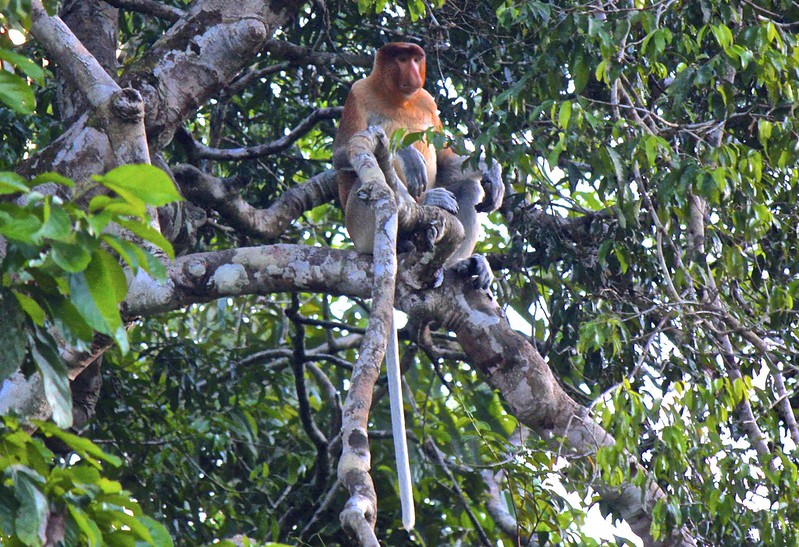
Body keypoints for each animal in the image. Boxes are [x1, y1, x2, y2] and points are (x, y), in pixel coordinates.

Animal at [333, 42, 504, 531]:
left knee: (464, 189)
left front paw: (493, 173)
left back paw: (460, 261)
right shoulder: (357, 94)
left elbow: (448, 158)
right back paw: (417, 214)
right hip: (361, 223)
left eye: (415, 57)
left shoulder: (426, 99)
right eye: (399, 56)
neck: (399, 98)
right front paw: (406, 158)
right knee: (380, 186)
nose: (411, 68)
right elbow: (344, 152)